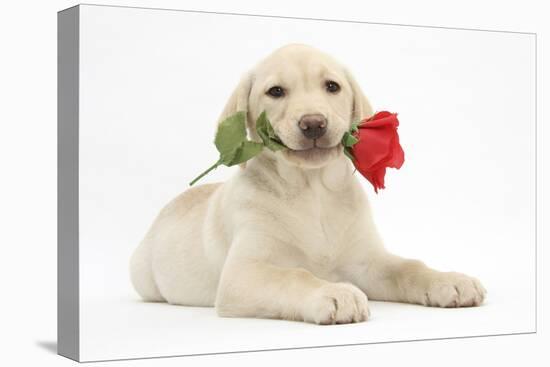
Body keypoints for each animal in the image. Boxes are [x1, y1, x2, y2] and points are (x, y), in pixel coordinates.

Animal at [130, 43, 488, 324]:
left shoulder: (369, 261)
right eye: (275, 92)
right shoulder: (243, 273)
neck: (312, 189)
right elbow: (295, 276)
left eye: (332, 86)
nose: (313, 123)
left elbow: (409, 266)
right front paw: (334, 293)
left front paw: (449, 280)